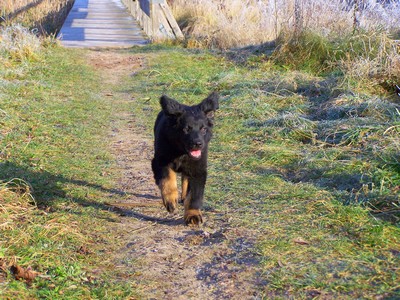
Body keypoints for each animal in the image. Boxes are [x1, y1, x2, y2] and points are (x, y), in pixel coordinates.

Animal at [151, 92, 219, 225]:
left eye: (203, 129)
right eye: (186, 129)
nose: (198, 144)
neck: (181, 152)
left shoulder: (198, 168)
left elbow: (194, 195)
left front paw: (193, 214)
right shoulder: (160, 161)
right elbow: (168, 179)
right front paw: (170, 200)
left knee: (186, 179)